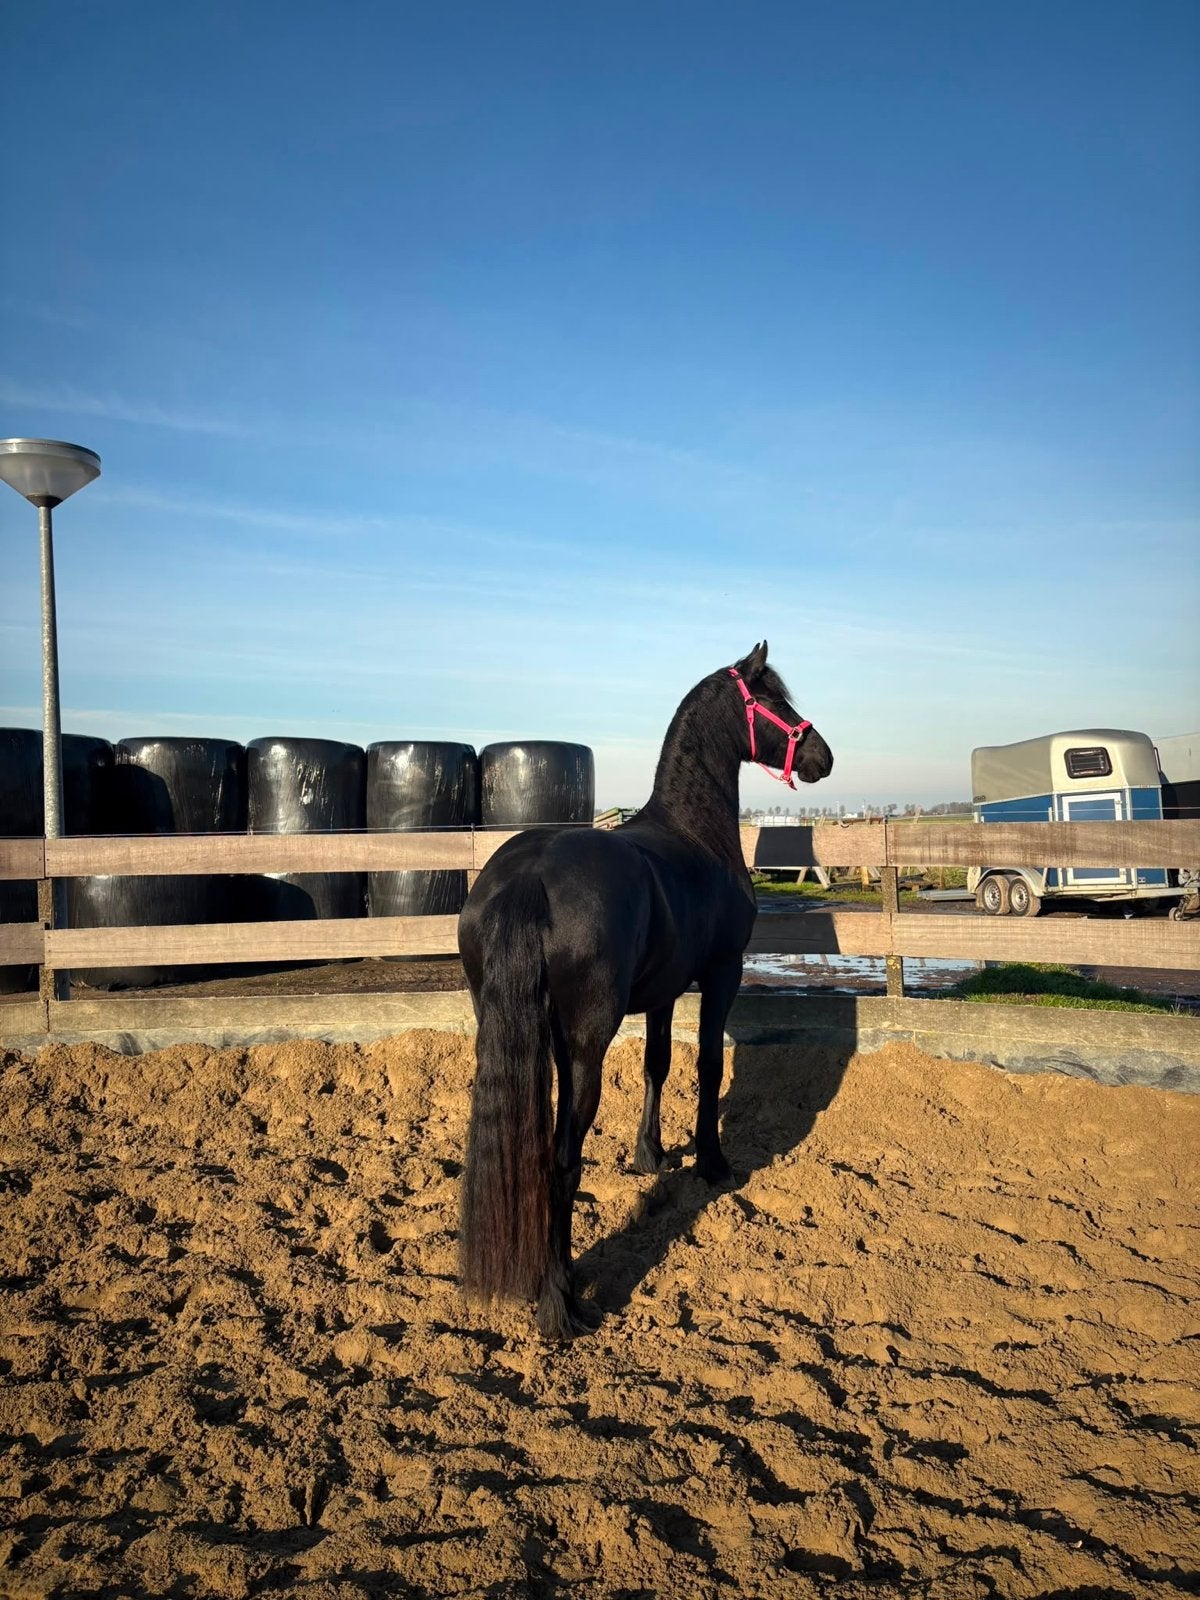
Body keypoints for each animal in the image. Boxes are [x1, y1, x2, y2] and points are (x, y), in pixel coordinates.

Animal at [457, 642, 833, 1339]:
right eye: (773, 699)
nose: (823, 755)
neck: (693, 833)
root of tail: (528, 876)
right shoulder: (721, 974)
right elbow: (709, 1066)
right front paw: (712, 1163)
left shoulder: (662, 992)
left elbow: (657, 1064)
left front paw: (649, 1156)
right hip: (584, 1045)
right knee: (561, 1159)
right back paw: (560, 1302)